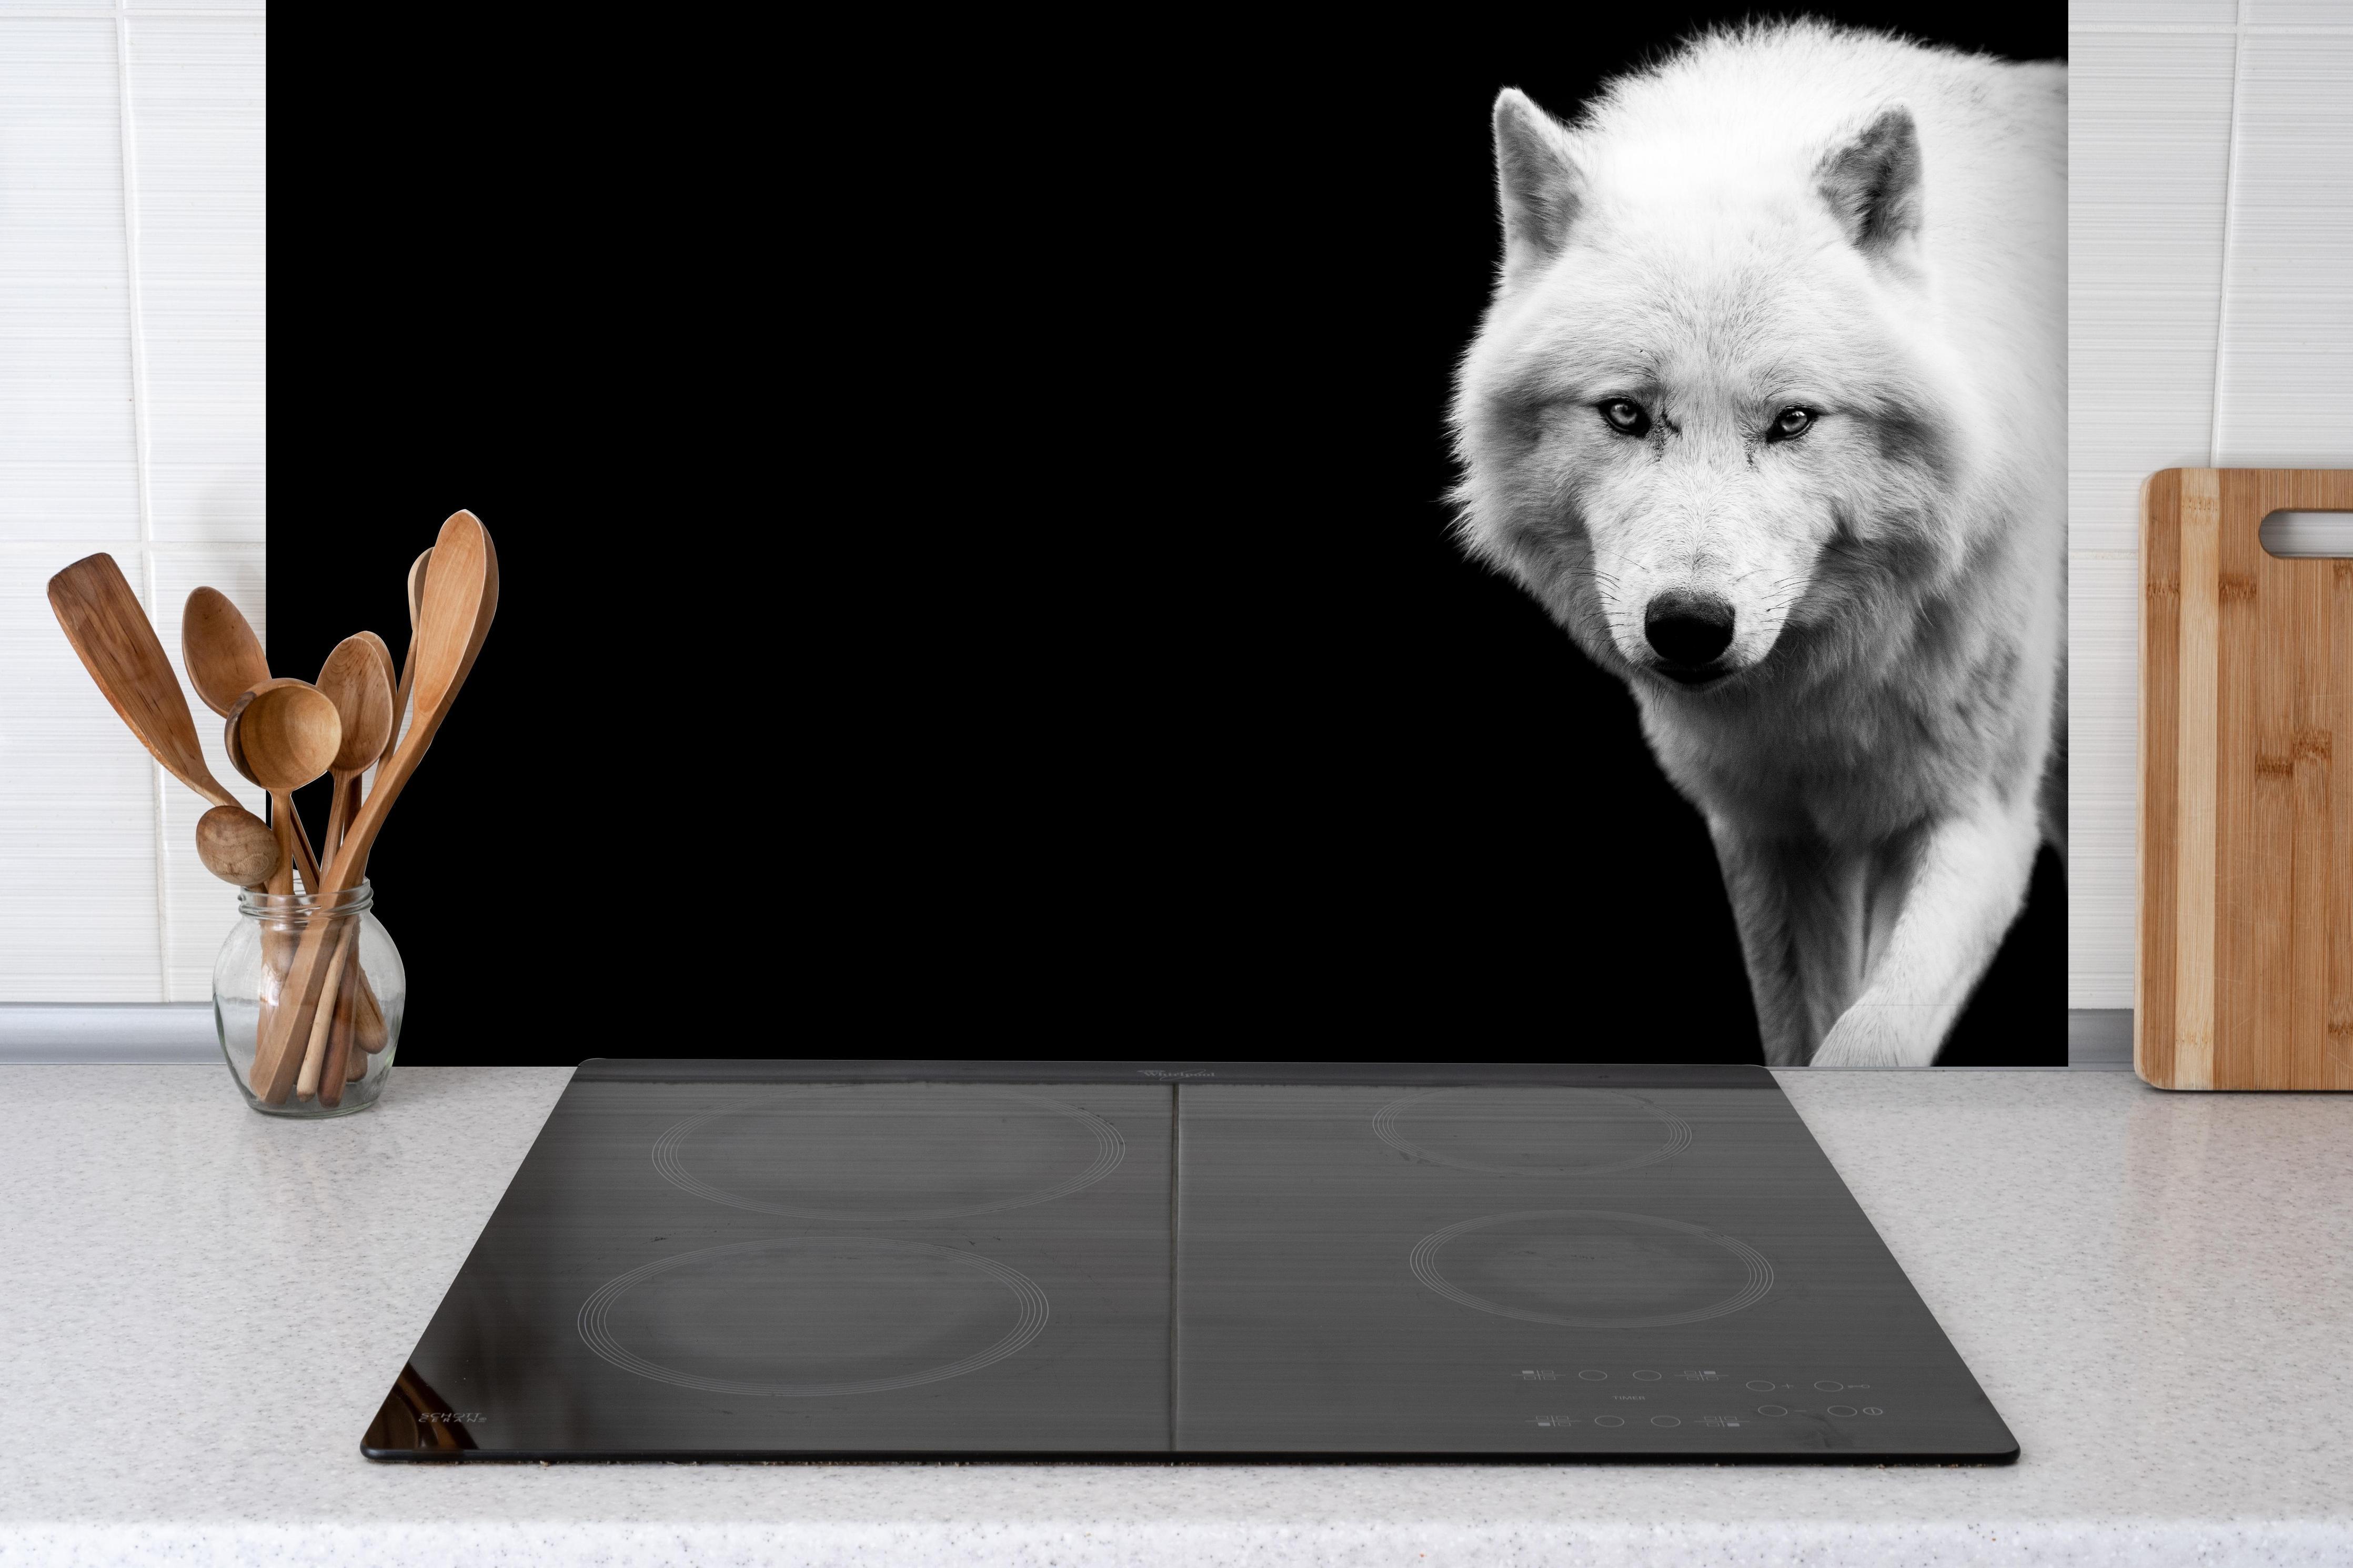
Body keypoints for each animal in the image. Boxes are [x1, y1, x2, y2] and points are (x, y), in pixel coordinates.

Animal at [1450, 23, 2065, 1066]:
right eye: (1626, 414)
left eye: (1792, 422)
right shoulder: (1772, 831)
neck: (1830, 687)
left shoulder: (1978, 820)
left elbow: (1866, 1044)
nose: (1690, 626)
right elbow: (1801, 1032)